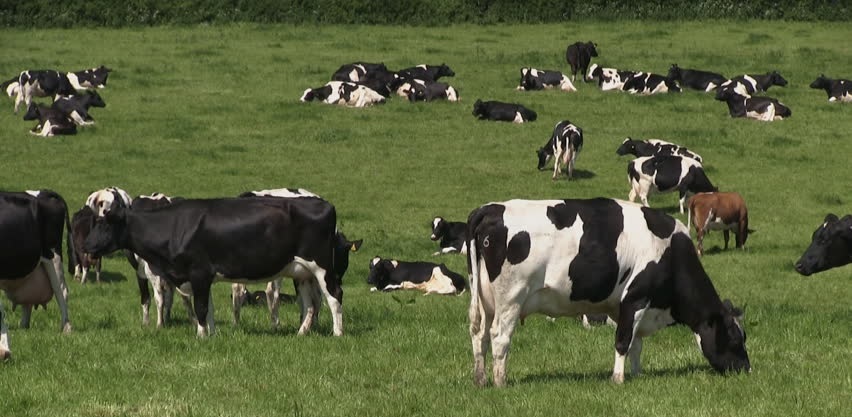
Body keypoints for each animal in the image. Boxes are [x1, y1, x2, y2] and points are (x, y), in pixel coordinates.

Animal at [0, 190, 74, 359]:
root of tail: (44, 192)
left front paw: (4, 349)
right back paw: (23, 327)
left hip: (53, 255)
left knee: (62, 291)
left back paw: (66, 328)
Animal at [84, 196, 345, 337]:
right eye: (94, 223)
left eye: (105, 225)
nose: (86, 245)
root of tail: (324, 203)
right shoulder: (201, 277)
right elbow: (208, 308)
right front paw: (212, 334)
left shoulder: (198, 272)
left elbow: (200, 307)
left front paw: (200, 336)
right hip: (302, 272)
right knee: (311, 303)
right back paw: (301, 333)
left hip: (322, 266)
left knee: (334, 296)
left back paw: (337, 333)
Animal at [232, 188, 362, 329]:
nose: (340, 279)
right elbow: (315, 297)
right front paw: (311, 323)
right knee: (272, 291)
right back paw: (276, 324)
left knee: (238, 289)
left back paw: (237, 323)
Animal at [466, 198, 751, 386]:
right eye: (735, 339)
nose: (746, 369)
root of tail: (491, 208)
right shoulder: (636, 297)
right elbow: (623, 341)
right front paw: (618, 379)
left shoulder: (625, 306)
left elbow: (636, 343)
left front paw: (637, 374)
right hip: (511, 298)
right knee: (499, 338)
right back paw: (500, 382)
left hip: (484, 300)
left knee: (479, 335)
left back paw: (481, 379)